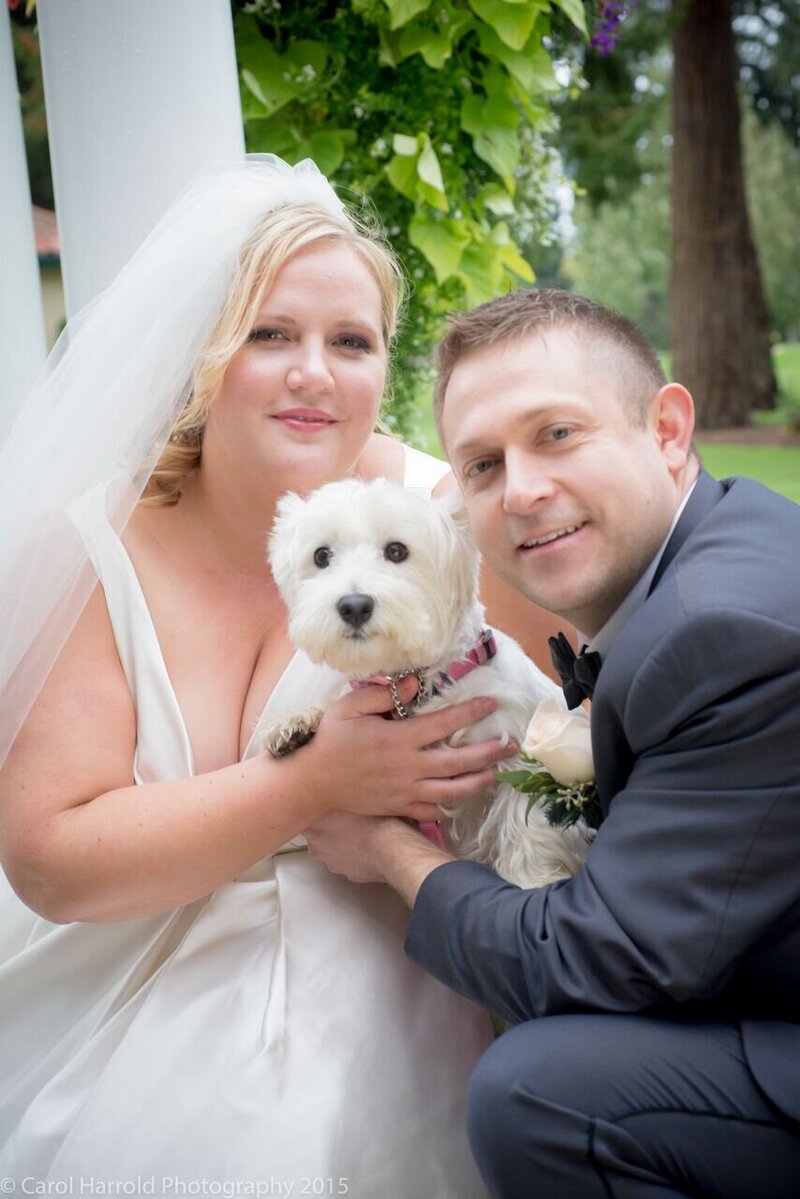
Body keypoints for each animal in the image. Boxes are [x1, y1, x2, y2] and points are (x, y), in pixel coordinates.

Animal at [261, 477, 587, 892]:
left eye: (396, 550)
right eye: (321, 556)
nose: (353, 605)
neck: (414, 684)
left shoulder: (520, 746)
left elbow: (527, 821)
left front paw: (532, 882)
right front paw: (295, 723)